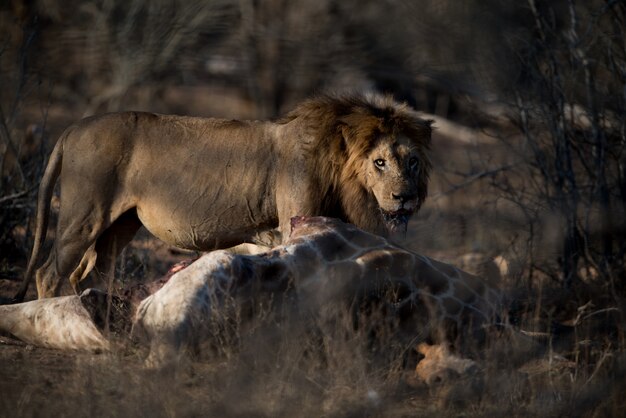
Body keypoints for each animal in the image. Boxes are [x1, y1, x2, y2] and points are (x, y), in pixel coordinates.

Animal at [13, 93, 428, 300]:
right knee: (49, 273)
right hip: (85, 214)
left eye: (413, 162)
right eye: (379, 162)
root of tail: (72, 129)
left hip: (120, 225)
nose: (404, 198)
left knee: (91, 274)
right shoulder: (297, 222)